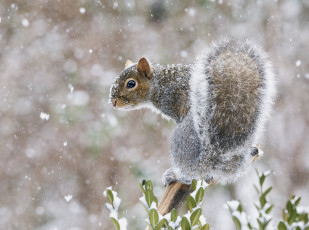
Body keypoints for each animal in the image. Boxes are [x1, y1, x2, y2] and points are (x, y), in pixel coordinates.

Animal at [107, 37, 274, 185]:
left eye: (131, 84)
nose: (113, 102)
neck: (160, 84)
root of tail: (212, 160)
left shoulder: (175, 99)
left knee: (193, 174)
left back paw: (175, 175)